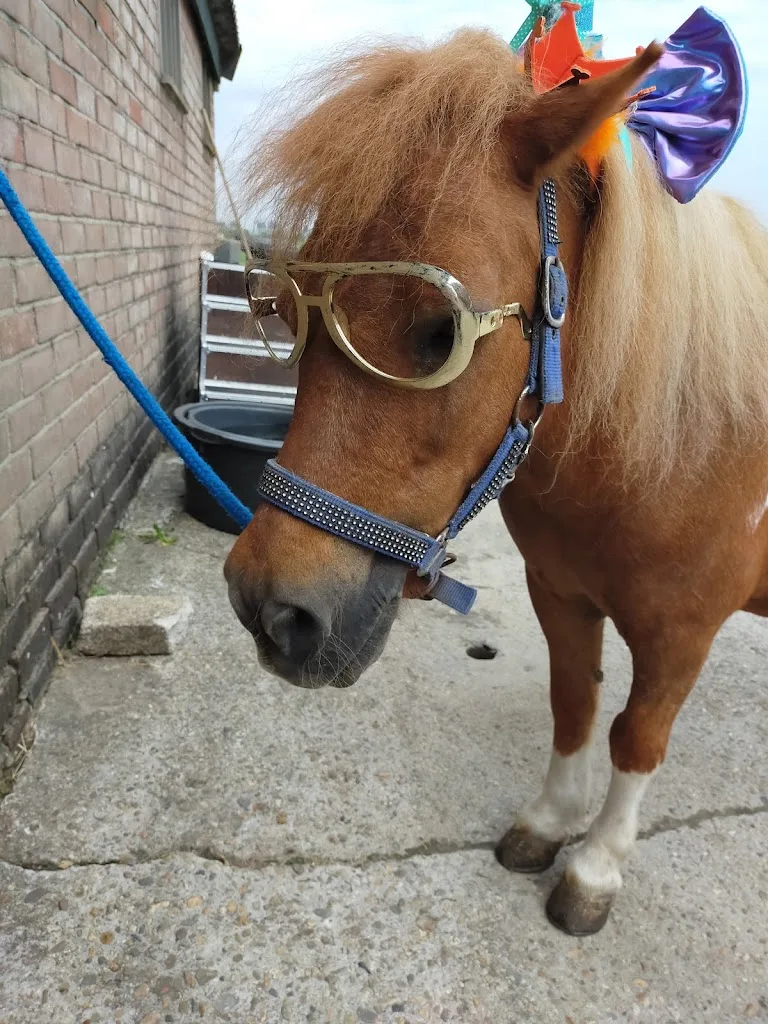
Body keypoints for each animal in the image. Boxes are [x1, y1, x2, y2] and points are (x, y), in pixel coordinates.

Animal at [223, 29, 768, 935]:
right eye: (287, 308)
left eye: (440, 333)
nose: (269, 610)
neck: (676, 433)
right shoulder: (560, 593)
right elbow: (575, 702)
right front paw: (549, 824)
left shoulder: (682, 632)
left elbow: (636, 736)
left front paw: (596, 866)